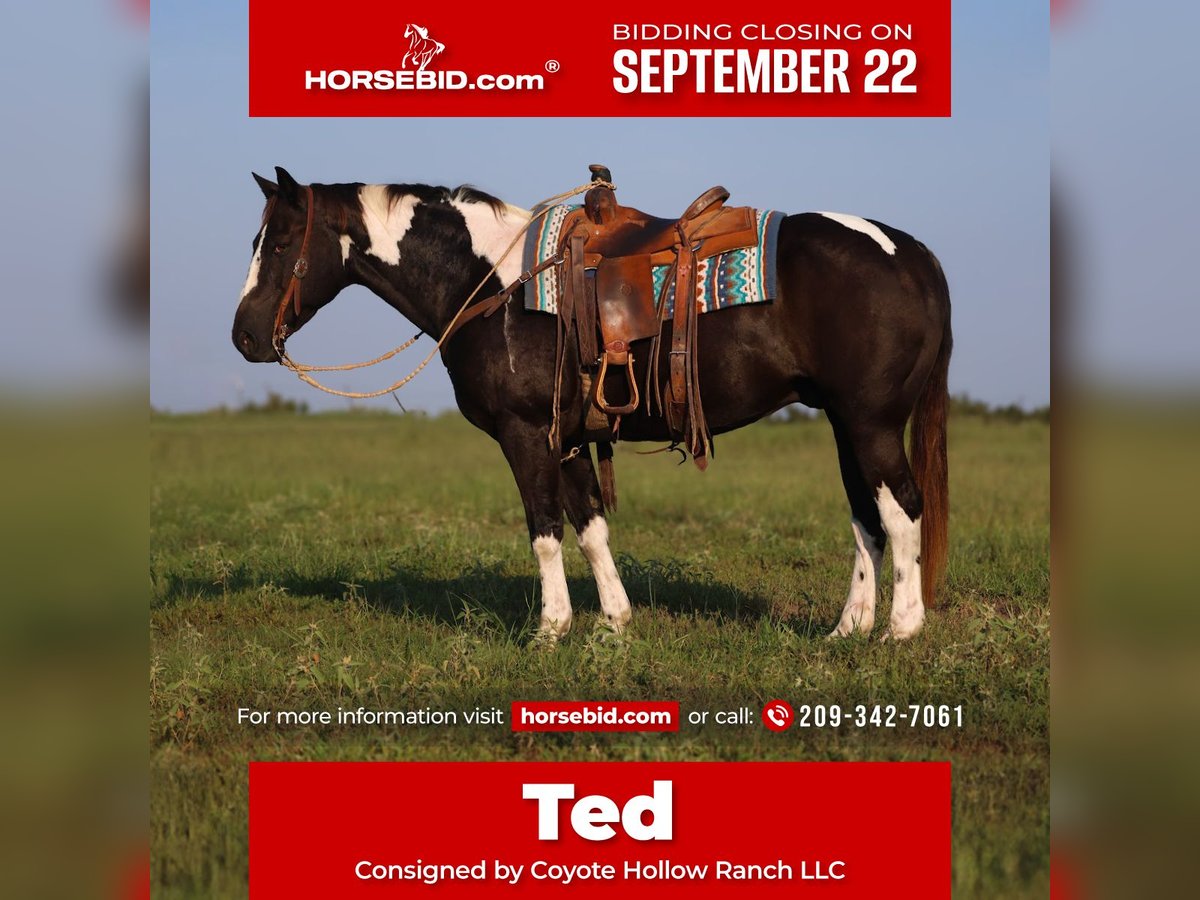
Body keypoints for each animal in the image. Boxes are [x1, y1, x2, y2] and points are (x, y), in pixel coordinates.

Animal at [232, 167, 952, 642]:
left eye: (279, 243)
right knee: (866, 520)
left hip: (870, 422)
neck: (488, 282)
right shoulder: (571, 437)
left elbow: (545, 531)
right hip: (844, 423)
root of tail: (910, 252)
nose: (243, 336)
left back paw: (901, 629)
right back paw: (848, 629)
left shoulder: (526, 435)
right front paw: (614, 622)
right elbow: (591, 528)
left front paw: (551, 630)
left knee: (902, 510)